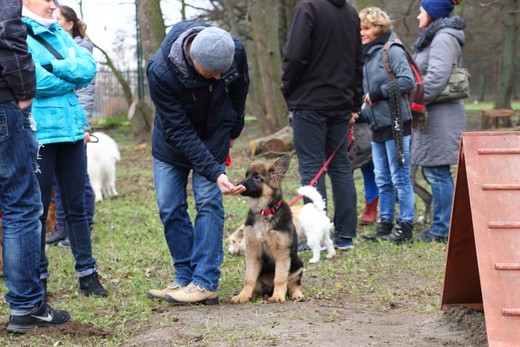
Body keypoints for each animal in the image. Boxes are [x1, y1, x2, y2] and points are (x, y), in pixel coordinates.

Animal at [231, 156, 304, 304]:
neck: (264, 211)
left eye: (257, 177)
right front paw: (243, 295)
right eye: (246, 175)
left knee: (292, 284)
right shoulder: (253, 252)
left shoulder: (282, 253)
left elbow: (280, 278)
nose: (237, 184)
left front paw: (278, 296)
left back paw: (296, 294)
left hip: (298, 265)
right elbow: (249, 279)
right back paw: (253, 294)